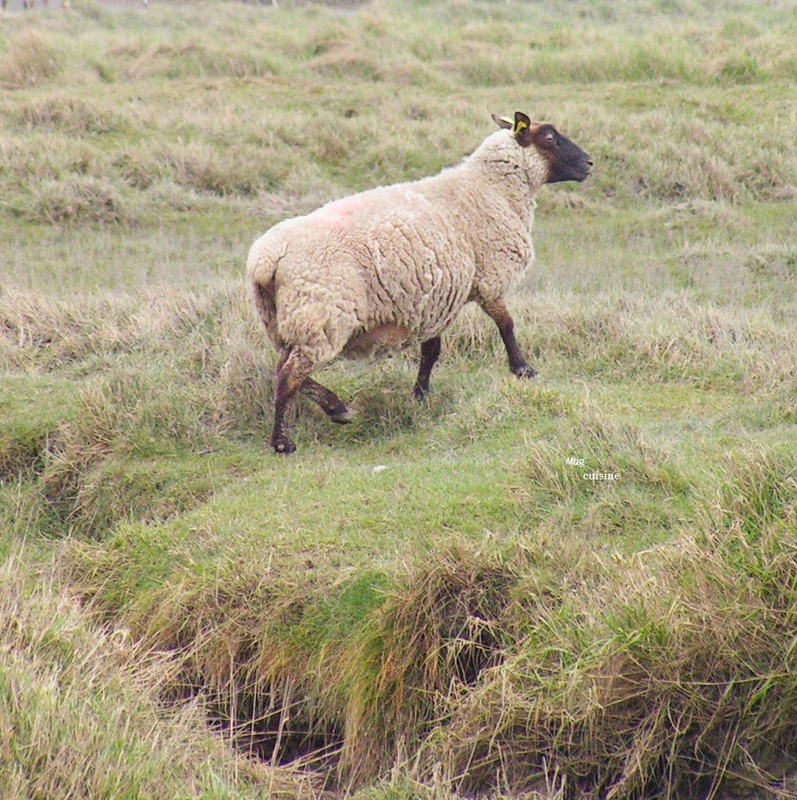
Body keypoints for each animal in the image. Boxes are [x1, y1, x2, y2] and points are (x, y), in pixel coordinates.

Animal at [249, 109, 592, 454]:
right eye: (549, 137)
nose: (589, 163)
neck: (491, 188)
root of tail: (266, 258)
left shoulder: (437, 301)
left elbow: (431, 351)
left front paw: (420, 394)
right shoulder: (488, 277)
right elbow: (506, 325)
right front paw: (523, 369)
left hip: (285, 321)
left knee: (283, 369)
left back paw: (338, 409)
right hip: (321, 318)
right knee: (288, 376)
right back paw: (283, 442)